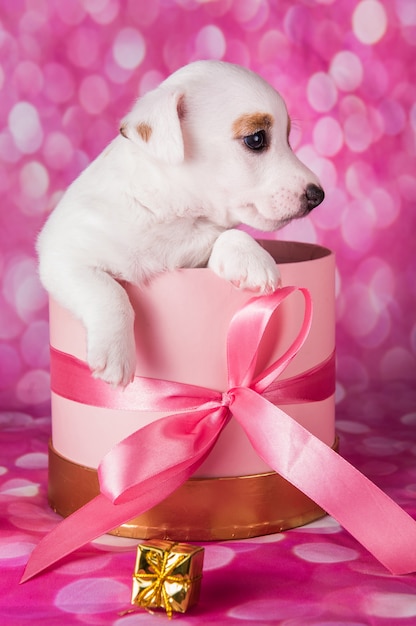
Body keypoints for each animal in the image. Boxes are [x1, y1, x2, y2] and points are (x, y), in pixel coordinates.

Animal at [37, 59, 324, 386]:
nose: (319, 195)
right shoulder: (64, 255)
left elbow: (228, 236)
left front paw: (250, 258)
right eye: (256, 139)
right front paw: (115, 354)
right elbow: (109, 292)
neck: (173, 212)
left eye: (288, 138)